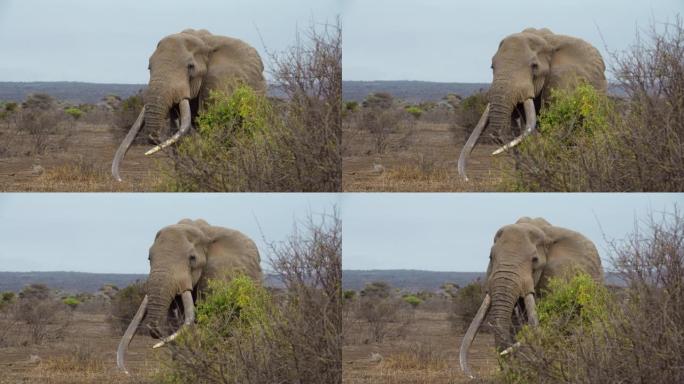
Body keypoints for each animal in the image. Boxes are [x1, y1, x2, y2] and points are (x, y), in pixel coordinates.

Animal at [112, 28, 264, 182]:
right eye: (149, 67)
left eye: (190, 67)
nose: (156, 138)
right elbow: (178, 136)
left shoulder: (218, 85)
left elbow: (216, 132)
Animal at [456, 28, 608, 182]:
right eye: (492, 66)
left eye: (534, 66)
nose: (468, 180)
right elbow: (522, 133)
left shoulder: (562, 83)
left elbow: (557, 130)